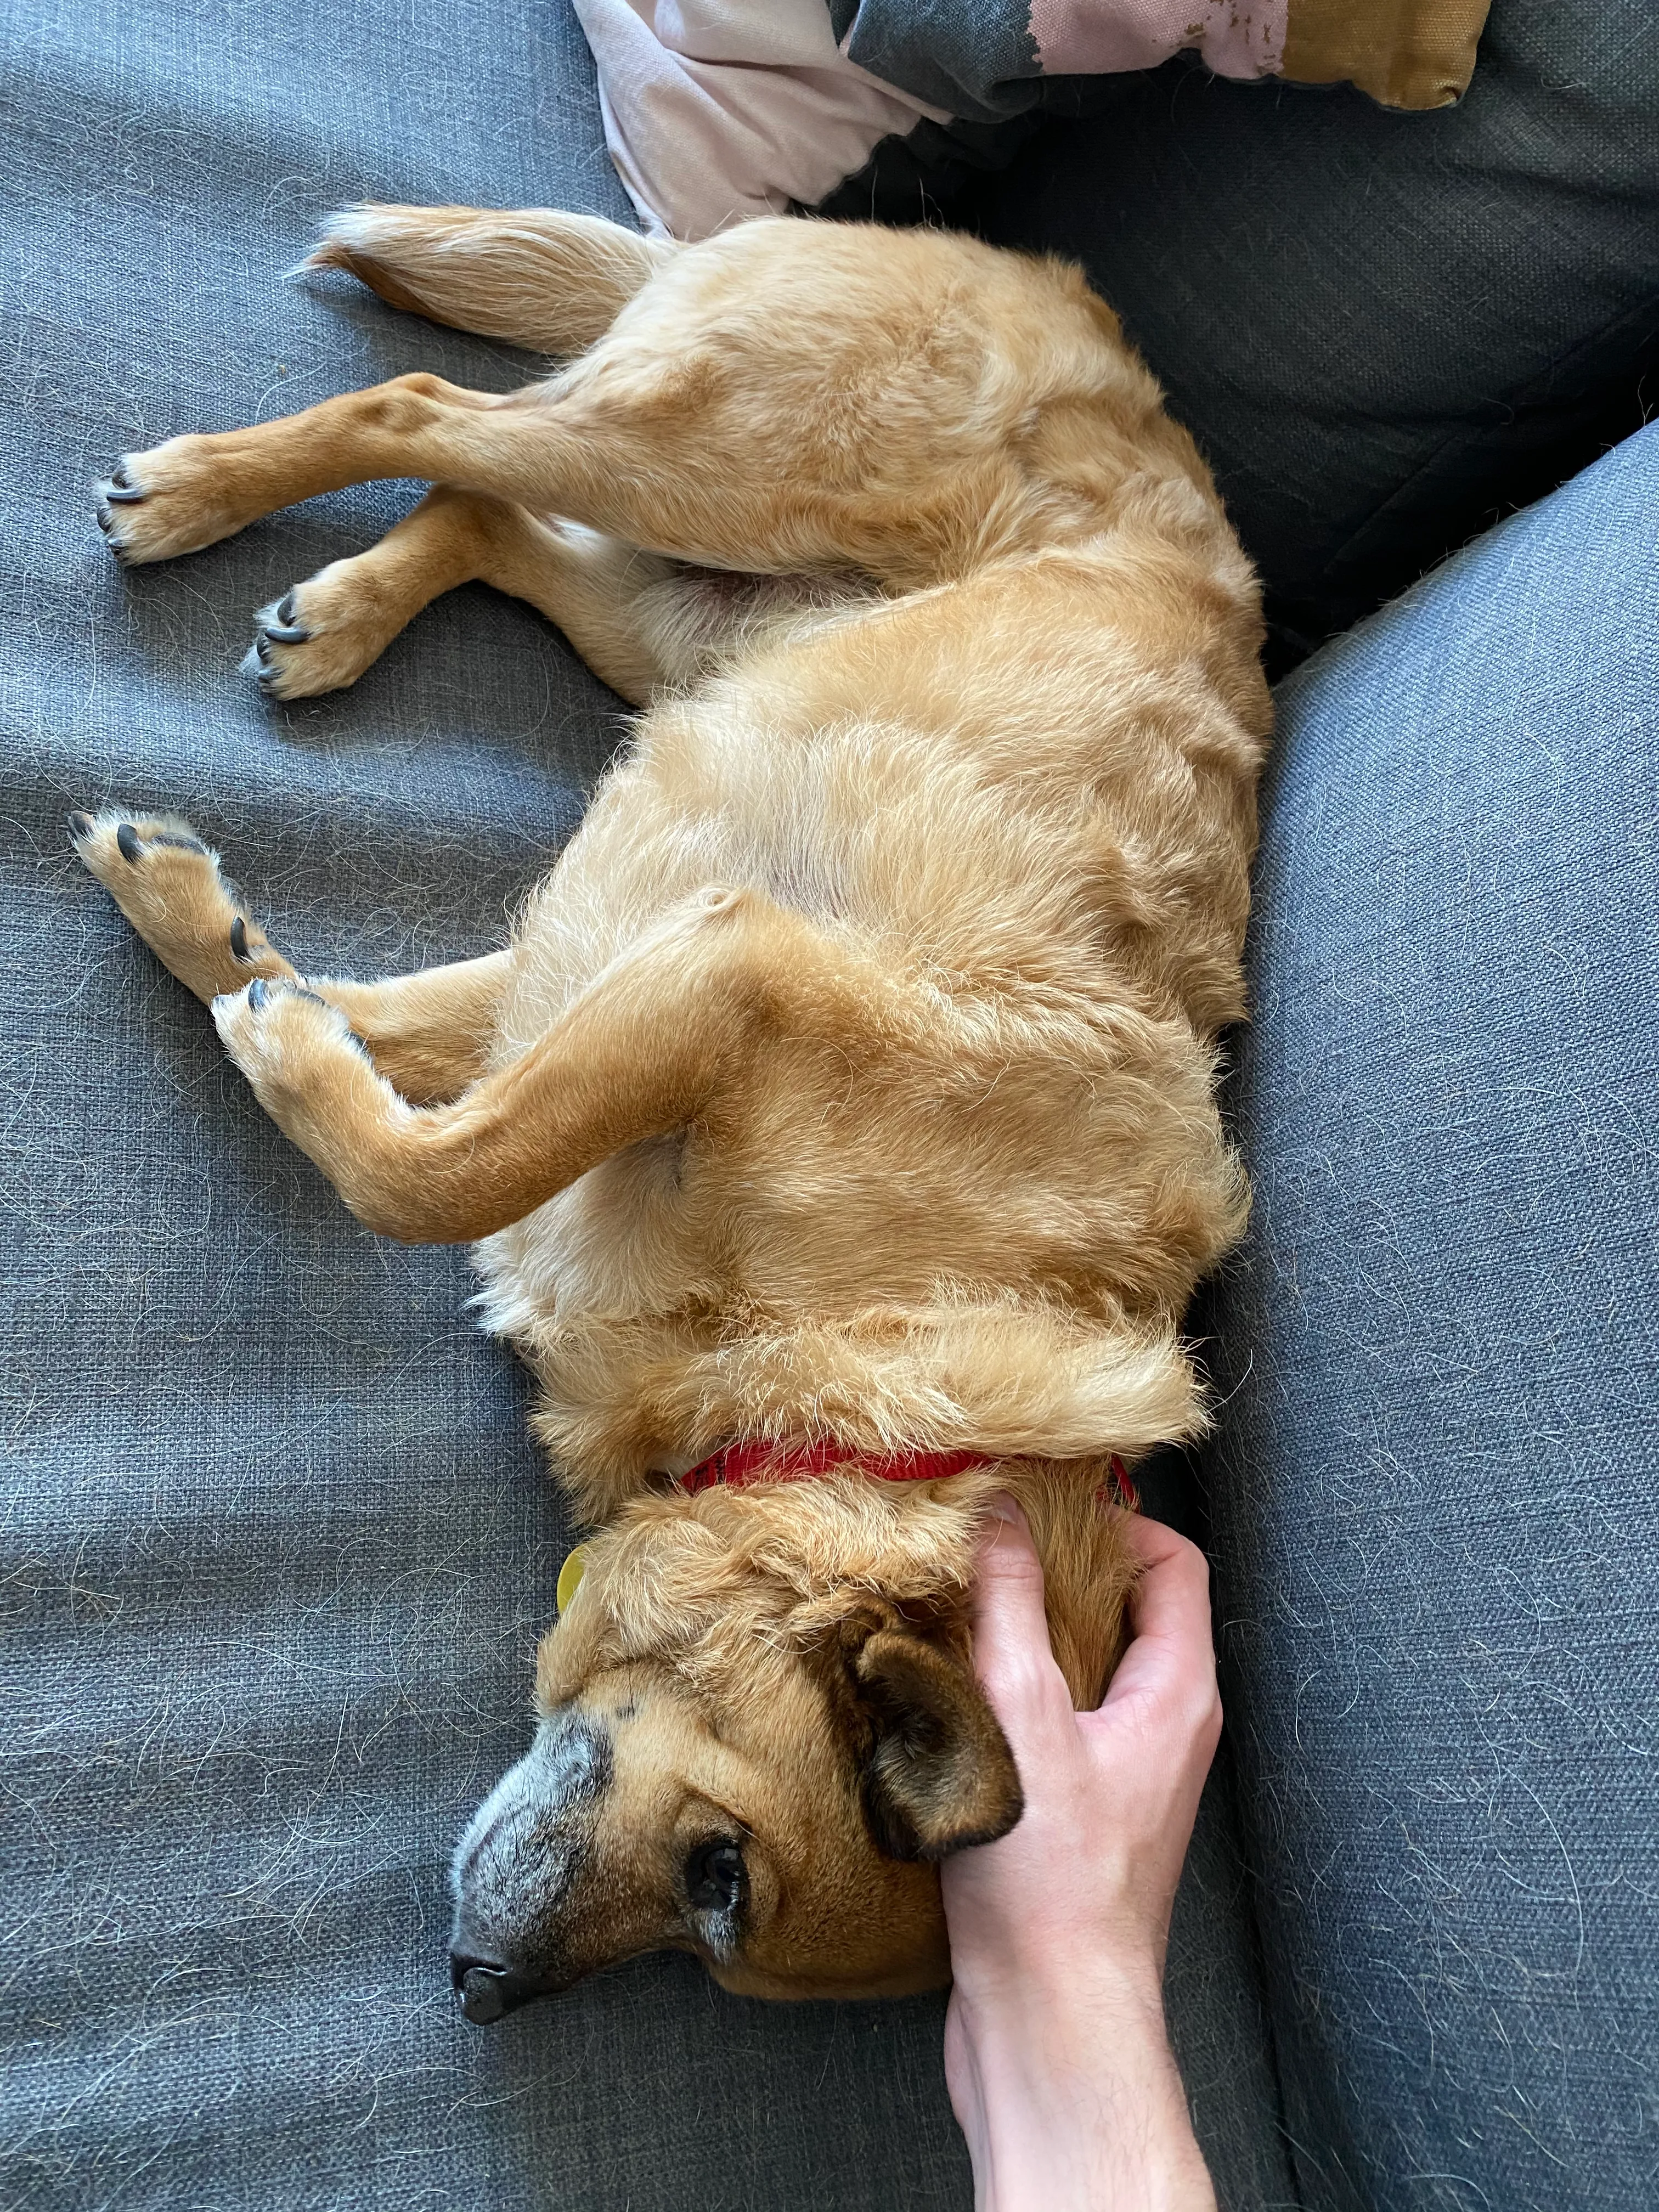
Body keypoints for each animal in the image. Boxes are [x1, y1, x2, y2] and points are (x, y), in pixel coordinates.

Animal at [71, 211, 1274, 2026]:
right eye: (722, 1876)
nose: (479, 1992)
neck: (858, 1387)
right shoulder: (723, 978)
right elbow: (443, 1172)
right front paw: (277, 1036)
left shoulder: (599, 973)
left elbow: (383, 1035)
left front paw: (210, 939)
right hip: (717, 464)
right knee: (432, 410)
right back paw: (201, 495)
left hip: (668, 618)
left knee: (492, 515)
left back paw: (338, 614)